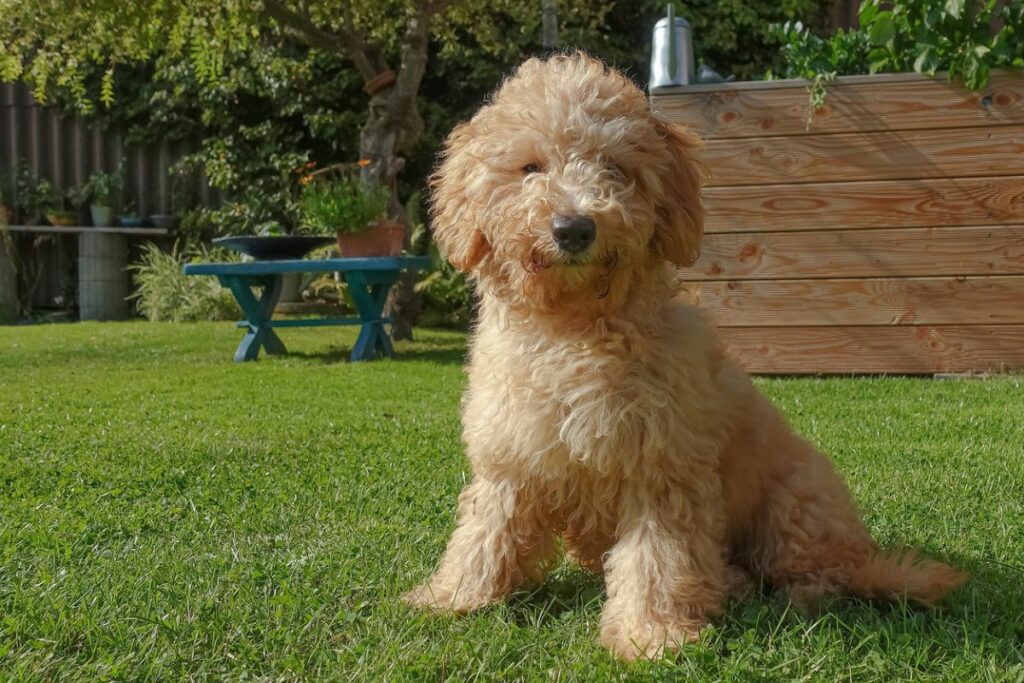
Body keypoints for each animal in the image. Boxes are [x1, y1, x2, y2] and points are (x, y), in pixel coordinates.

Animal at [401, 53, 966, 663]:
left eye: (615, 168)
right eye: (530, 167)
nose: (574, 228)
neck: (575, 333)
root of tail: (867, 556)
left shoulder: (662, 466)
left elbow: (657, 559)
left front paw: (651, 635)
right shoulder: (511, 455)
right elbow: (486, 530)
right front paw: (453, 596)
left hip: (797, 498)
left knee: (821, 575)